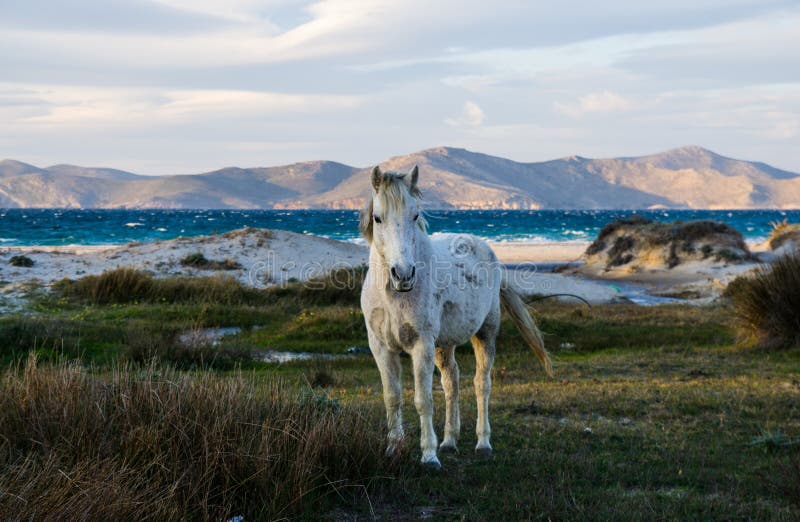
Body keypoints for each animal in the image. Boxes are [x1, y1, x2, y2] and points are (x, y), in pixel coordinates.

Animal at [360, 165, 552, 470]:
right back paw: (449, 441)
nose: (403, 274)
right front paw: (393, 449)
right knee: (452, 382)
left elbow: (423, 399)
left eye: (415, 215)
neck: (393, 298)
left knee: (481, 383)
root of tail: (484, 246)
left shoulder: (422, 346)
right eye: (378, 218)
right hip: (444, 345)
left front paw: (429, 456)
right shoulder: (381, 348)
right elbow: (392, 398)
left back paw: (483, 443)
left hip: (485, 333)